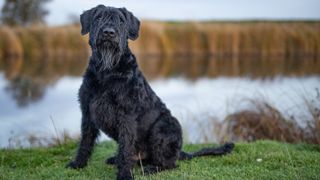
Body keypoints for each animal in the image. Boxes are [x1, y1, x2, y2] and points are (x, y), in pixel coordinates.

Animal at [65, 4, 235, 179]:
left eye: (121, 20)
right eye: (98, 17)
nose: (108, 32)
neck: (107, 71)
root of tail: (180, 152)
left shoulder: (126, 116)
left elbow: (126, 148)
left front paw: (124, 174)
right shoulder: (87, 112)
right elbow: (85, 141)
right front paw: (78, 163)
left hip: (163, 128)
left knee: (169, 163)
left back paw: (151, 169)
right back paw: (116, 159)